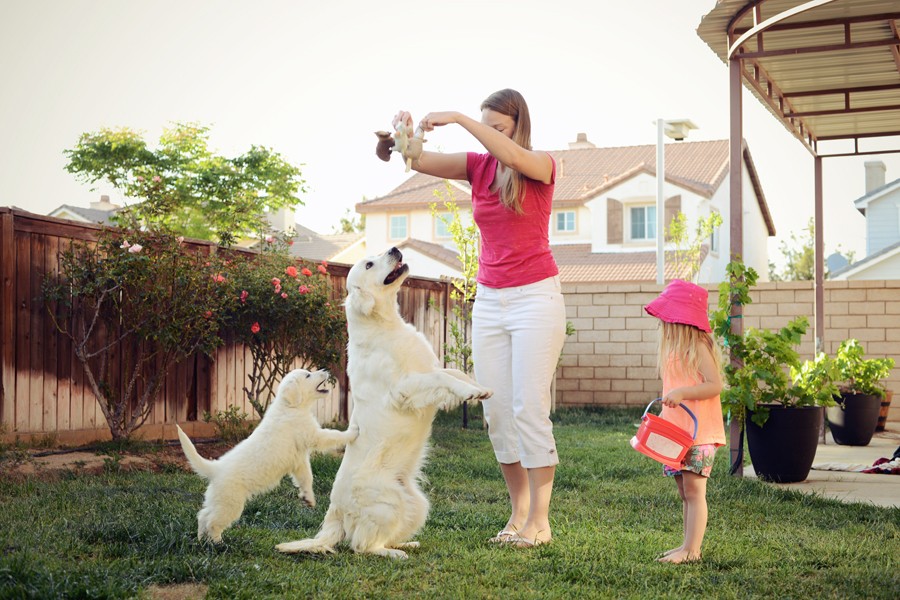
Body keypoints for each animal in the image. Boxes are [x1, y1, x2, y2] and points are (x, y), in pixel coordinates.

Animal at [176, 370, 358, 544]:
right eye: (308, 375)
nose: (325, 371)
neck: (291, 407)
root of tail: (215, 469)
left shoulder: (299, 459)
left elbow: (306, 478)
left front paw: (308, 498)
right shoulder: (313, 435)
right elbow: (333, 435)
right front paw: (353, 432)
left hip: (217, 499)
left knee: (203, 515)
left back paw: (201, 539)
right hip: (230, 503)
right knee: (213, 522)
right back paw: (217, 542)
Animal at [280, 247, 496, 556]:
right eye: (370, 264)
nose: (395, 249)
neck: (384, 326)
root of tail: (335, 513)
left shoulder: (428, 368)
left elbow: (454, 372)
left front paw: (480, 388)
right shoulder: (404, 389)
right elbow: (442, 378)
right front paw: (469, 393)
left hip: (416, 501)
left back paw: (406, 542)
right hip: (387, 503)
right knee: (362, 546)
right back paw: (393, 553)